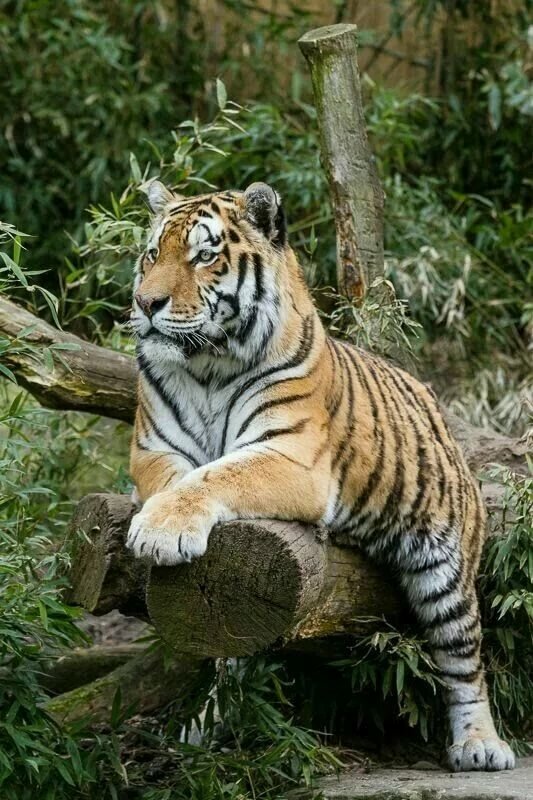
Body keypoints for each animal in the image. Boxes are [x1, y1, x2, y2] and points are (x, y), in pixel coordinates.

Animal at [126, 178, 515, 773]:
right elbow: (182, 479)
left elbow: (217, 475)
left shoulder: (293, 455)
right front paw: (159, 521)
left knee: (464, 659)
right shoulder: (152, 449)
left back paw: (480, 745)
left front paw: (161, 529)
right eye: (152, 254)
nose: (147, 303)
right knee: (231, 651)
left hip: (447, 573)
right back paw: (207, 724)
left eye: (204, 255)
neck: (208, 365)